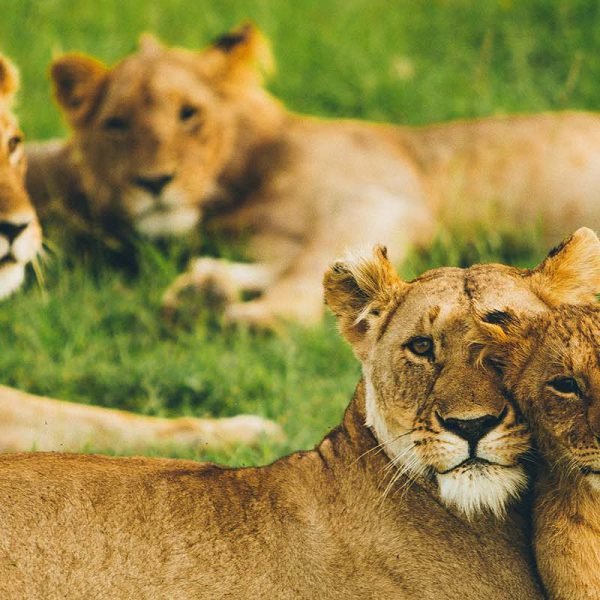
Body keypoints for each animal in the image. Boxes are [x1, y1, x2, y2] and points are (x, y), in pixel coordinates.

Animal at [25, 25, 600, 328]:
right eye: (116, 124)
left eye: (189, 114)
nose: (153, 182)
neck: (243, 187)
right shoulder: (273, 238)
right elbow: (304, 265)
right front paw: (204, 290)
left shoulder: (381, 200)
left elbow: (309, 267)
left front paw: (259, 319)